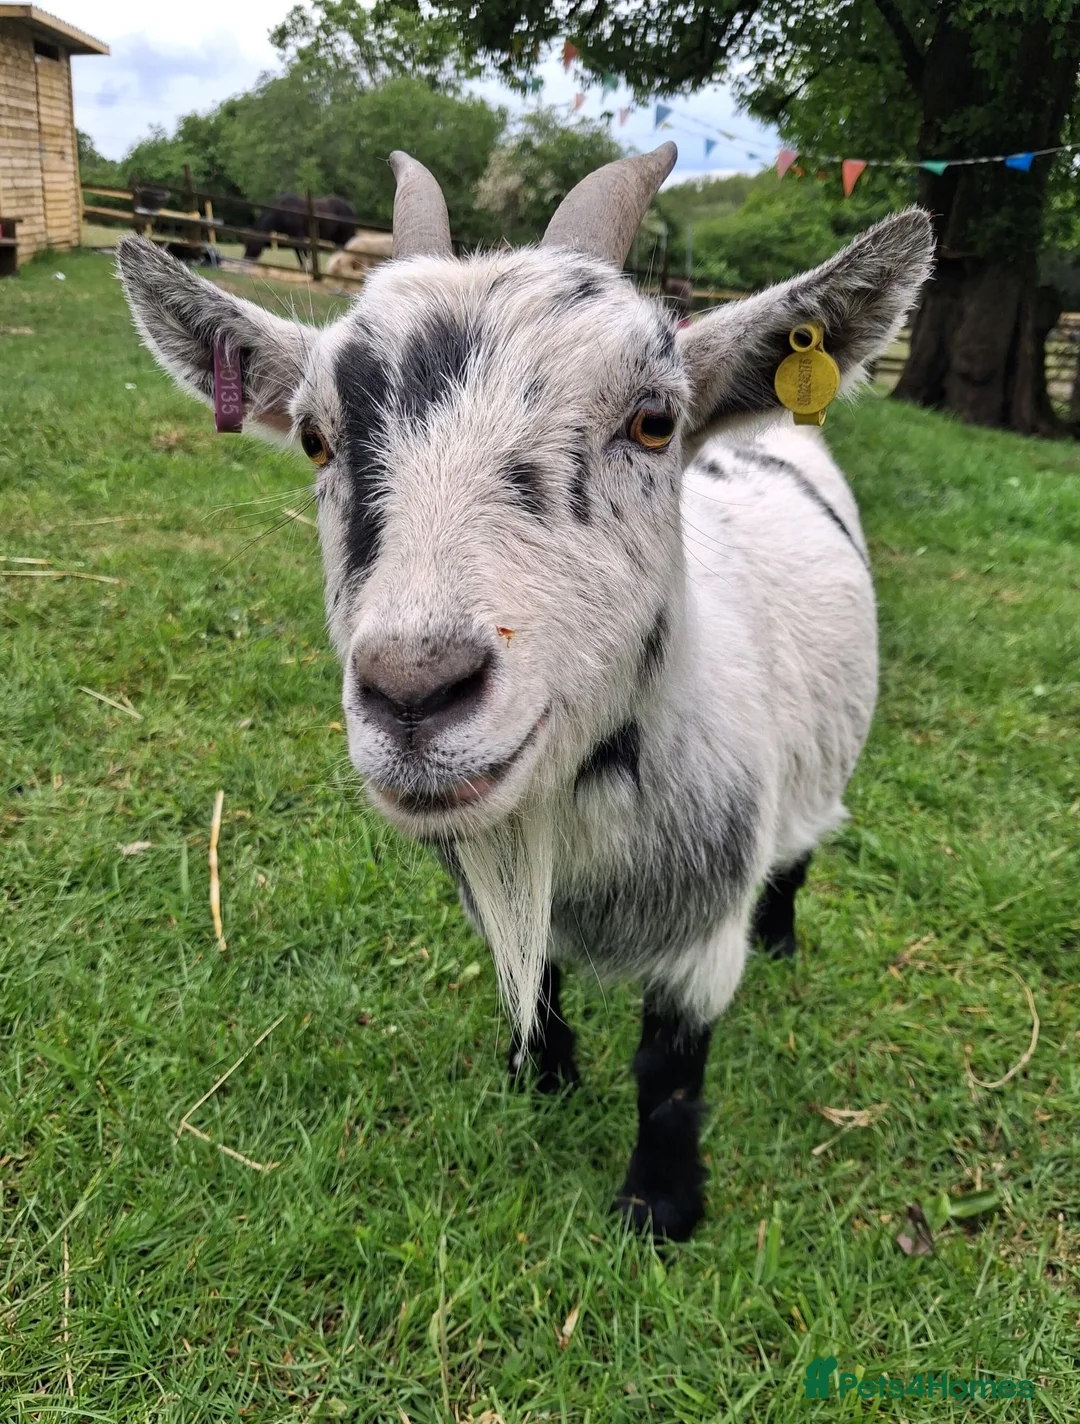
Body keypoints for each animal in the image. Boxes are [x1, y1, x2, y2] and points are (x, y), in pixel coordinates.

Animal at [116, 142, 933, 1241]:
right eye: (316, 440)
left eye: (653, 421)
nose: (416, 691)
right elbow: (533, 973)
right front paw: (540, 1074)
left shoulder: (702, 935)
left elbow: (669, 1070)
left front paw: (658, 1206)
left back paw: (785, 935)